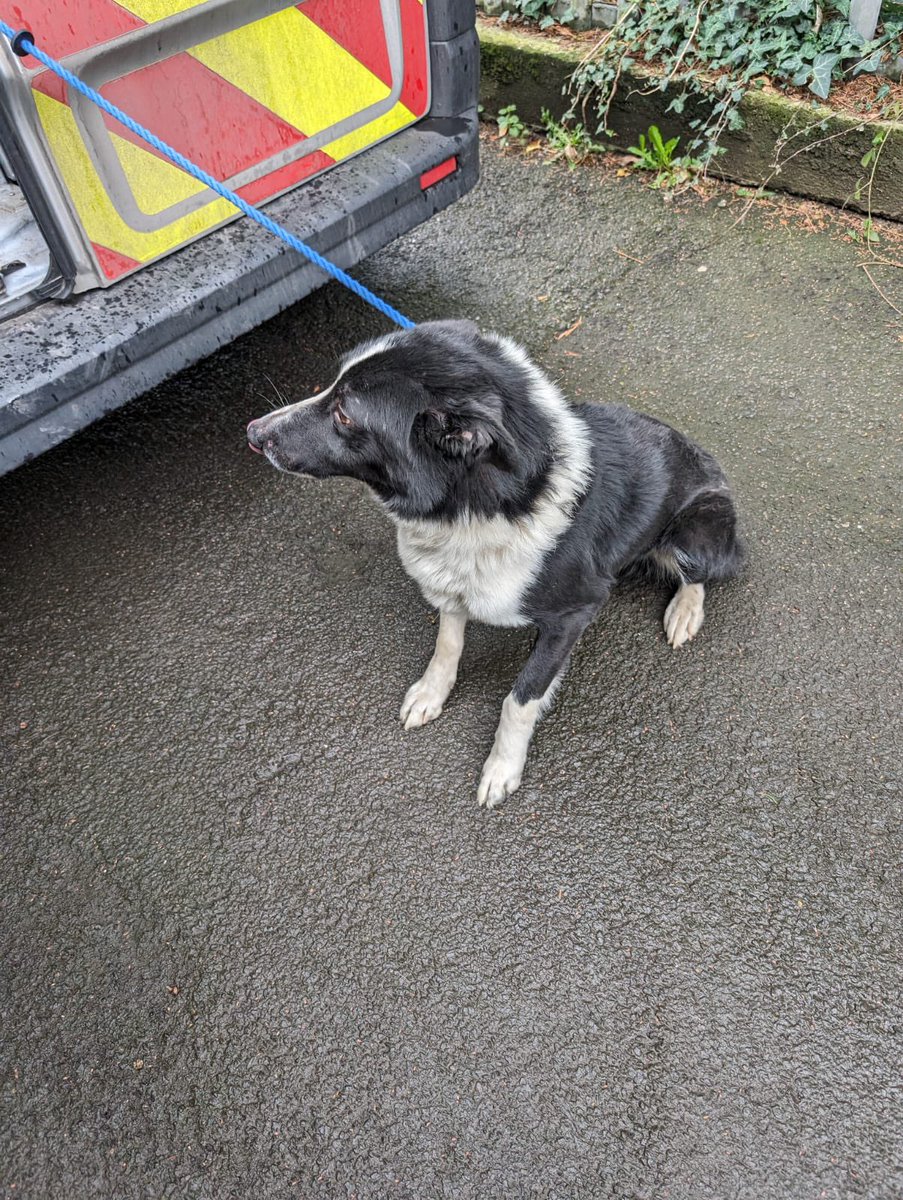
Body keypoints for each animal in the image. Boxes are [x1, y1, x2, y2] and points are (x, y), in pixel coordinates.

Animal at [244, 319, 739, 806]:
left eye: (344, 414)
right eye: (332, 382)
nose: (252, 434)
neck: (472, 509)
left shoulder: (574, 614)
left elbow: (519, 700)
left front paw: (502, 768)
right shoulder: (452, 586)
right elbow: (447, 644)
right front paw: (431, 693)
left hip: (696, 533)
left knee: (703, 574)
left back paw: (684, 612)